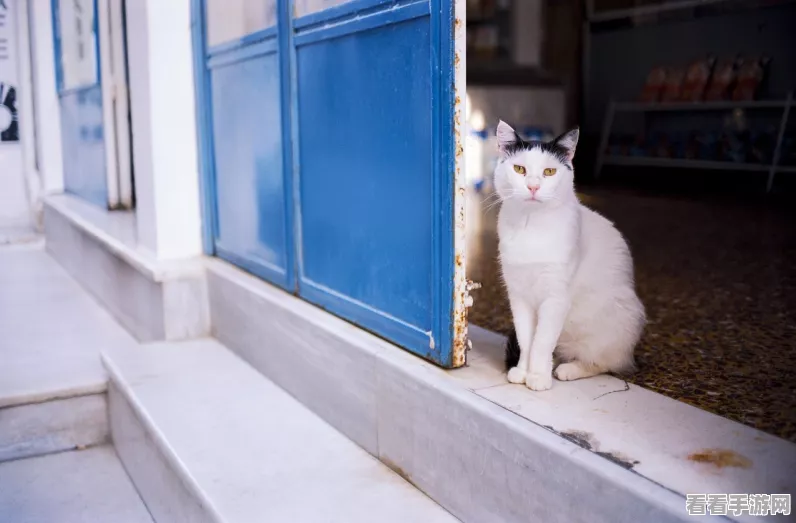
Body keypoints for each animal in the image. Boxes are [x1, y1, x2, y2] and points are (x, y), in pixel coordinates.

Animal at [498, 121, 648, 390]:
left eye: (549, 172)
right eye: (519, 169)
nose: (533, 186)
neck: (530, 226)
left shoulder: (556, 298)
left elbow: (541, 342)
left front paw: (538, 378)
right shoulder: (519, 297)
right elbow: (527, 340)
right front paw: (523, 371)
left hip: (614, 323)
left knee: (605, 363)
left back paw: (568, 369)